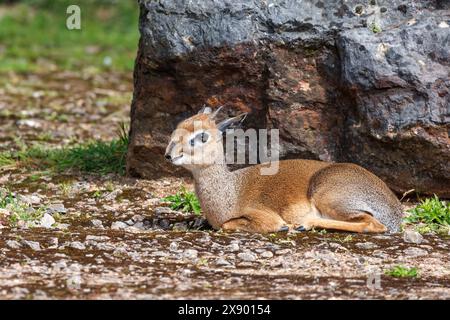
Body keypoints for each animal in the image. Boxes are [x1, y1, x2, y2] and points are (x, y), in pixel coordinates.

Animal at [165, 106, 404, 234]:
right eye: (177, 127)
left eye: (202, 136)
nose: (169, 154)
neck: (231, 193)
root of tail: (394, 210)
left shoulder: (260, 214)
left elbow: (229, 224)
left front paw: (283, 227)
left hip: (328, 196)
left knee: (372, 224)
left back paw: (301, 224)